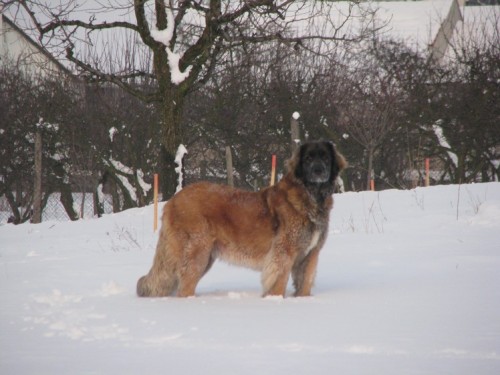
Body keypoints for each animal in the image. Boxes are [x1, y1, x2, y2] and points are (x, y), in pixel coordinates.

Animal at [138, 141, 348, 300]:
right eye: (308, 159)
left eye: (326, 158)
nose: (319, 170)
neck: (310, 196)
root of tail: (172, 201)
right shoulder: (284, 253)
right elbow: (279, 282)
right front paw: (276, 301)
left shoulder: (311, 254)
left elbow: (305, 282)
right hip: (197, 253)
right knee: (184, 288)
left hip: (204, 256)